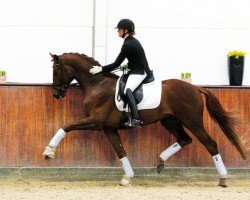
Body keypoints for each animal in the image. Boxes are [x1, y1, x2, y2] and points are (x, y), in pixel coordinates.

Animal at [43, 52, 246, 187]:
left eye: (55, 71)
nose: (56, 94)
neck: (97, 85)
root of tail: (196, 88)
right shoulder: (109, 128)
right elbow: (120, 151)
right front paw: (128, 177)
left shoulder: (96, 122)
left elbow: (66, 126)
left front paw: (49, 151)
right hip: (170, 121)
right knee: (184, 139)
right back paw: (160, 161)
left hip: (192, 122)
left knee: (210, 144)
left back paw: (223, 179)